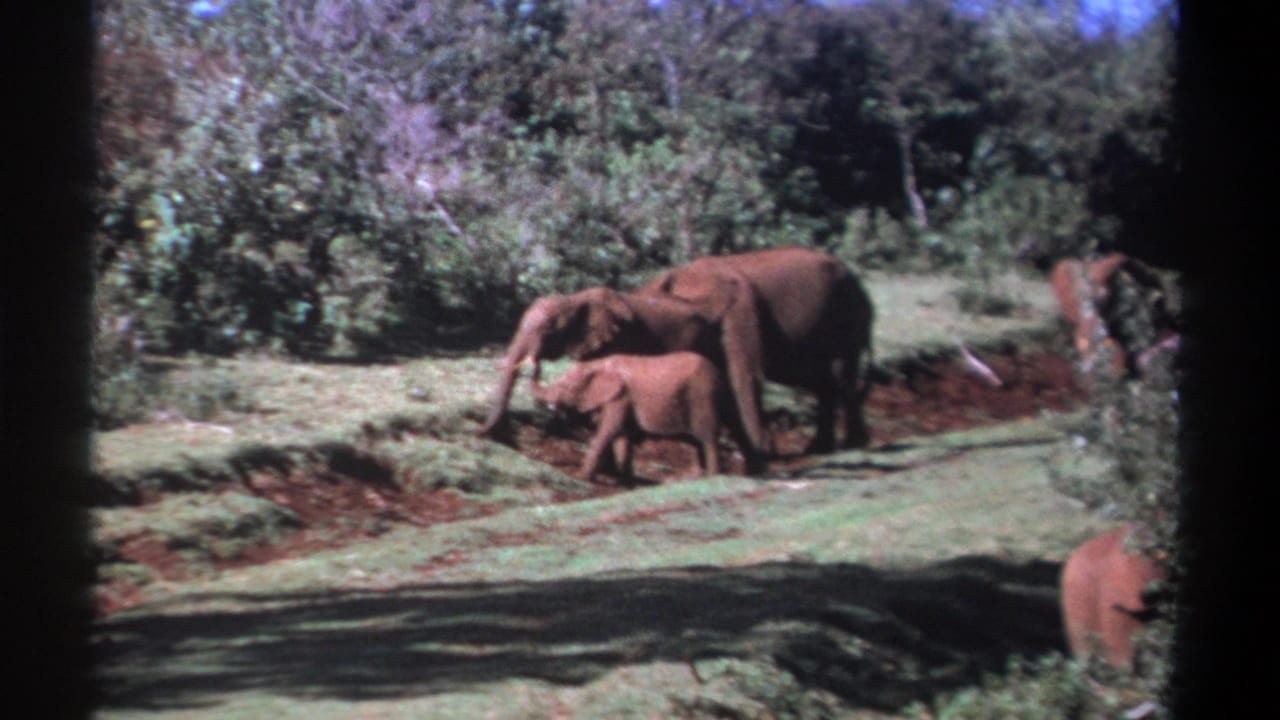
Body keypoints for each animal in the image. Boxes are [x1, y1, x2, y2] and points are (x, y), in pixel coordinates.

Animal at [530, 352, 746, 483]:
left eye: (568, 388)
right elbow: (622, 436)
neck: (599, 364)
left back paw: (711, 477)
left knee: (708, 439)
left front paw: (580, 477)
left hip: (703, 397)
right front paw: (625, 481)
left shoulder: (620, 397)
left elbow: (609, 431)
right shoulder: (621, 400)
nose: (534, 359)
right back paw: (695, 477)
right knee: (696, 442)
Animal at [637, 245, 875, 454]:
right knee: (820, 380)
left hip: (847, 316)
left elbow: (743, 375)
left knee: (839, 375)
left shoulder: (741, 311)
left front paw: (760, 450)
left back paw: (853, 444)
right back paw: (820, 448)